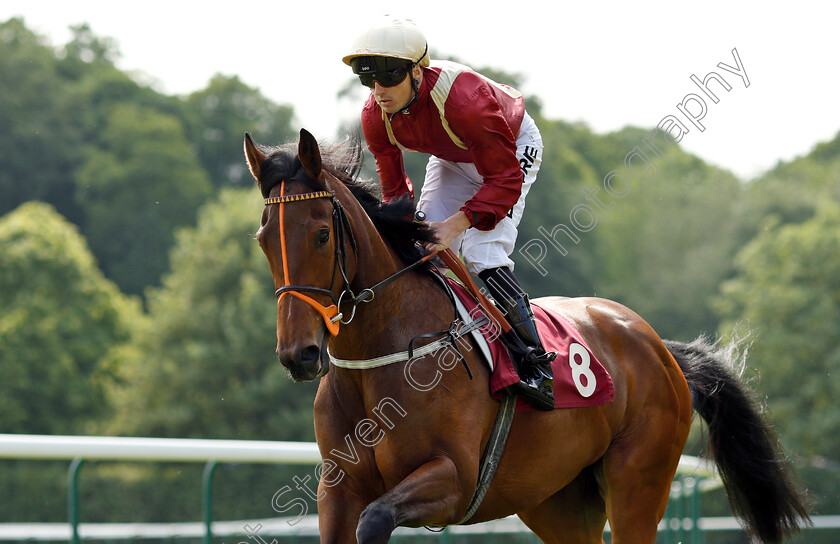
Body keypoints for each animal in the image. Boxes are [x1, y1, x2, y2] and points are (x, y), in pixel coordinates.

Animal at [246, 130, 812, 540]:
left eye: (322, 234)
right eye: (262, 239)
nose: (299, 354)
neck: (380, 357)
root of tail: (661, 349)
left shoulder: (455, 478)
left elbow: (378, 519)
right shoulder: (338, 491)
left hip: (639, 480)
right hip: (556, 498)